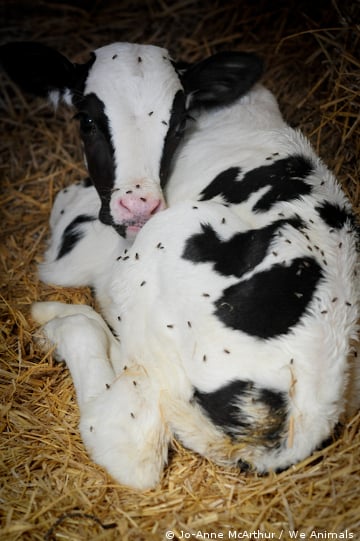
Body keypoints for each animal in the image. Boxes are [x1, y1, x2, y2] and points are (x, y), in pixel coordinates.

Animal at [2, 42, 358, 490]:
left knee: (124, 435)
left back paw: (52, 324)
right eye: (88, 121)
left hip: (164, 245)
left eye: (176, 125)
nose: (137, 205)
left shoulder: (78, 247)